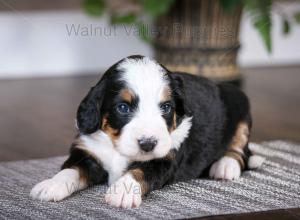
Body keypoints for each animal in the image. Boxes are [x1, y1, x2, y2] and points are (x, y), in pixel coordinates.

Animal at [29, 54, 262, 208]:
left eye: (166, 107)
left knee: (240, 149)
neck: (117, 147)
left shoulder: (165, 158)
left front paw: (121, 191)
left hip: (241, 104)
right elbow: (70, 170)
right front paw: (51, 185)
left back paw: (226, 166)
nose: (148, 144)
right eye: (123, 108)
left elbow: (140, 170)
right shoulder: (88, 152)